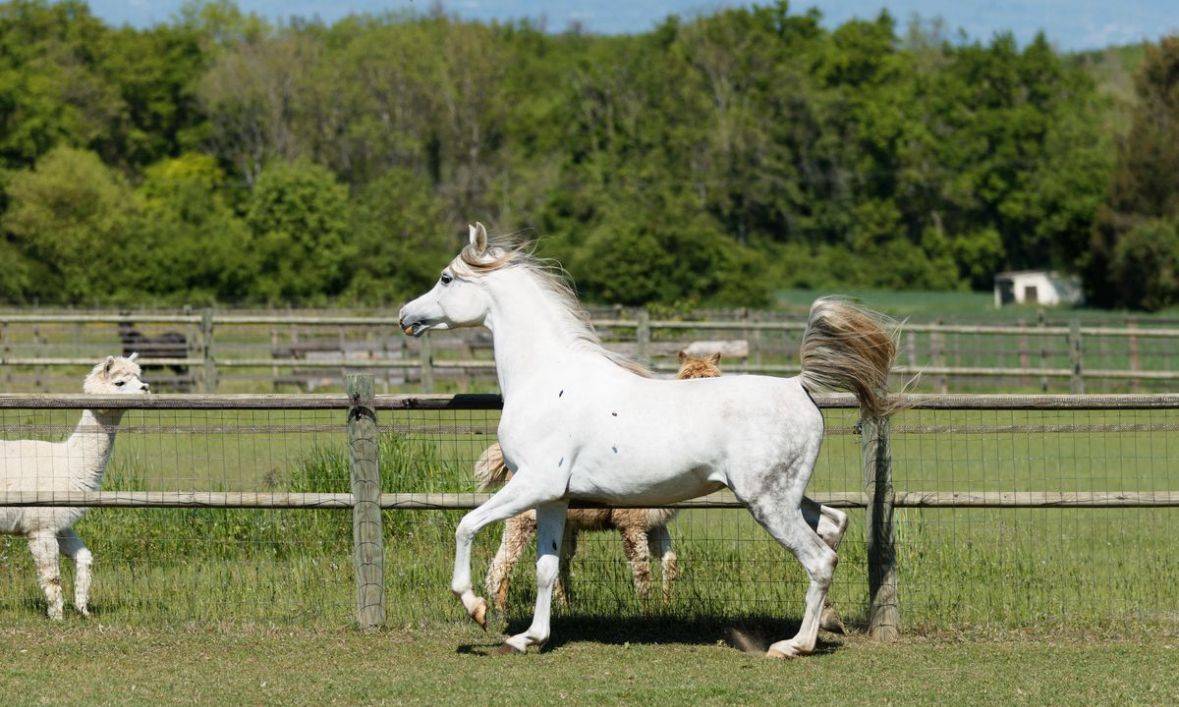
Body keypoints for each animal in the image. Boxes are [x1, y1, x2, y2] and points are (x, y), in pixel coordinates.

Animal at [398, 223, 895, 657]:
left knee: (819, 559)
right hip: (783, 495)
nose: (405, 316)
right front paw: (530, 638)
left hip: (766, 501)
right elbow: (546, 568)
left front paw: (477, 610)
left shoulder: (534, 484)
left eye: (446, 278)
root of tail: (798, 387)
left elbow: (466, 526)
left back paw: (793, 645)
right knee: (832, 524)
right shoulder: (553, 497)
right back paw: (826, 623)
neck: (547, 378)